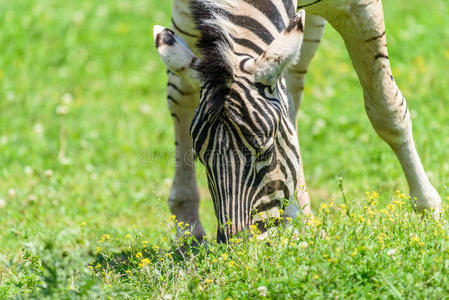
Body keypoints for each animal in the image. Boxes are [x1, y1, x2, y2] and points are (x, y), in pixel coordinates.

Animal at [152, 0, 440, 241]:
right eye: (200, 158)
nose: (237, 249)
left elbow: (386, 109)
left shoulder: (360, 8)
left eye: (265, 152)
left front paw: (429, 211)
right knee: (183, 95)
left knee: (292, 89)